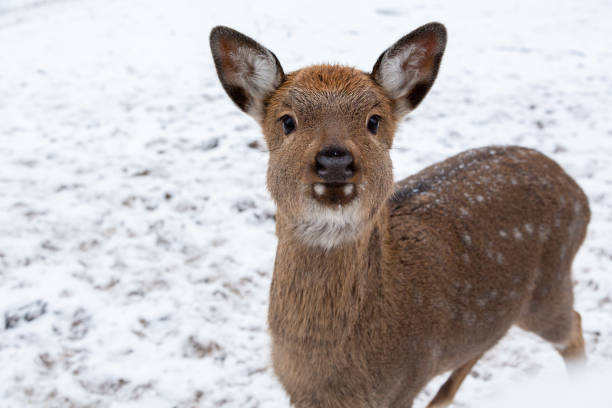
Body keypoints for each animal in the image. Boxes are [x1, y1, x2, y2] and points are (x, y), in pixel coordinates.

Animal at [209, 23, 588, 408]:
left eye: (374, 121)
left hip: (550, 287)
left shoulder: (405, 383)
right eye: (287, 121)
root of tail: (578, 194)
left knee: (574, 326)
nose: (335, 159)